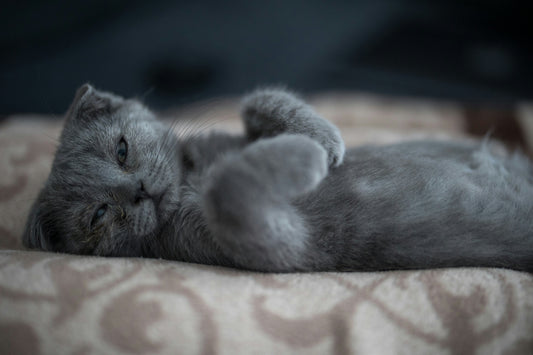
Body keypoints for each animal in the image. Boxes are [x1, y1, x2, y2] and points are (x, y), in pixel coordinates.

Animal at [22, 84, 532, 272]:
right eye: (99, 214)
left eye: (122, 150)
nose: (139, 190)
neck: (193, 175)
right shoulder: (276, 243)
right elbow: (230, 188)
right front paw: (308, 155)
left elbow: (256, 100)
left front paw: (325, 140)